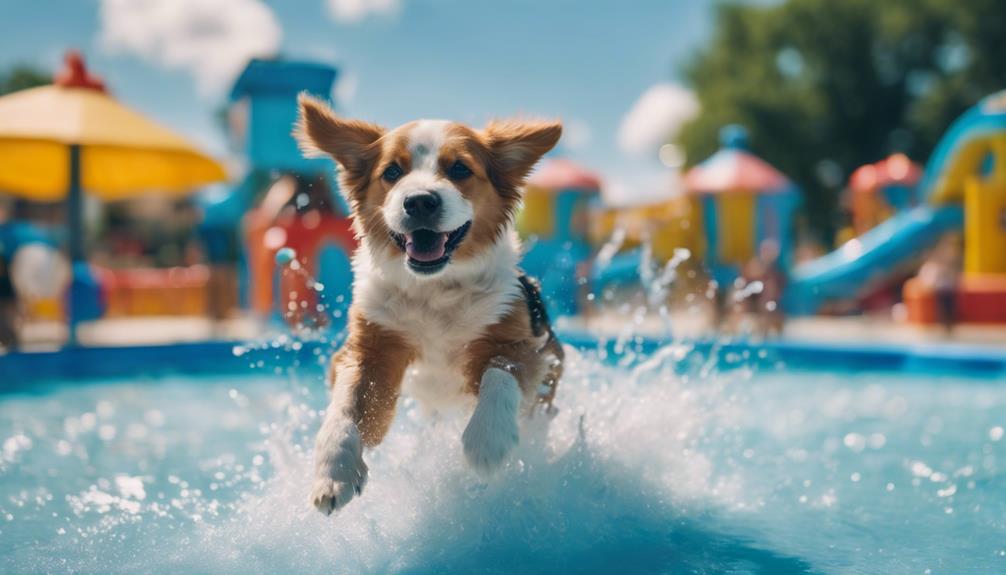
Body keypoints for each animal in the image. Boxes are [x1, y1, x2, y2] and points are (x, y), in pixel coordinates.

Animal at [295, 95, 567, 514]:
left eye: (459, 168)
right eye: (392, 171)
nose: (420, 201)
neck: (434, 289)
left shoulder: (525, 345)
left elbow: (500, 373)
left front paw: (487, 442)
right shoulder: (370, 348)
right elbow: (345, 408)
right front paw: (334, 471)